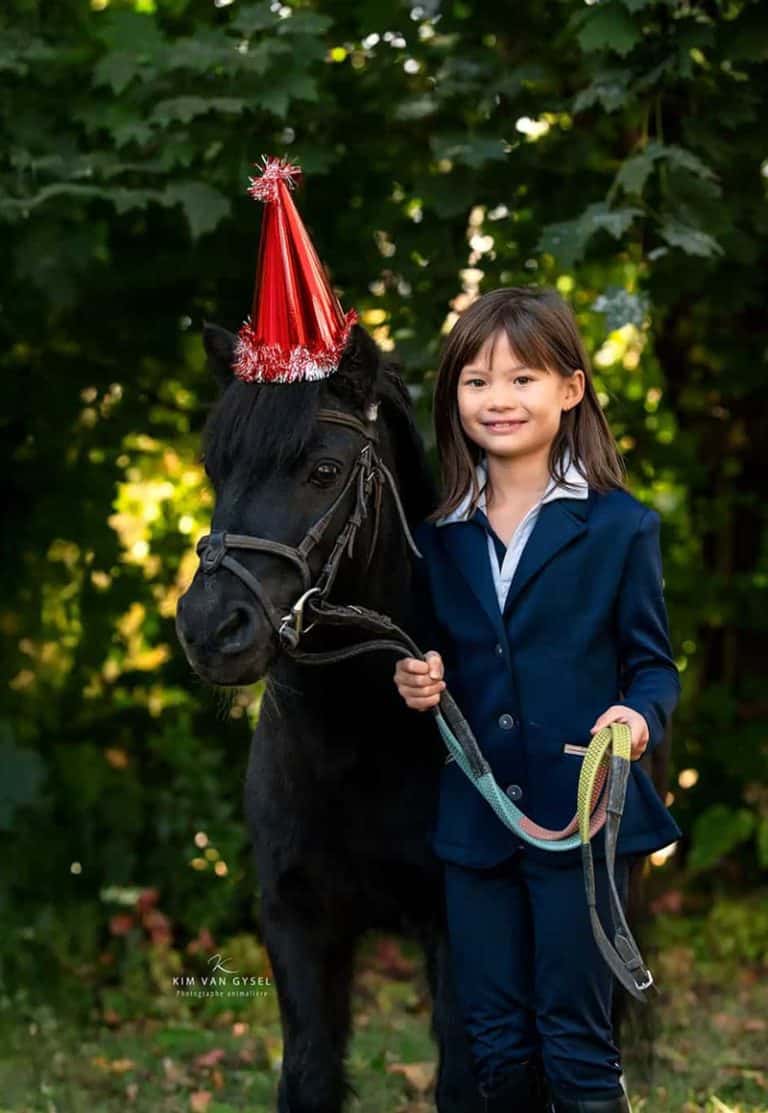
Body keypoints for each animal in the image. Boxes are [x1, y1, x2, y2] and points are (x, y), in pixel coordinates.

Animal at [176, 321, 482, 1113]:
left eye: (323, 470)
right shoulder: (297, 920)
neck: (359, 739)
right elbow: (309, 1075)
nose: (210, 627)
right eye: (217, 469)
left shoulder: (455, 928)